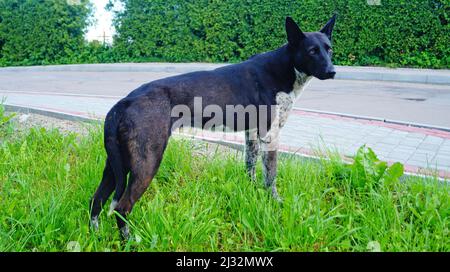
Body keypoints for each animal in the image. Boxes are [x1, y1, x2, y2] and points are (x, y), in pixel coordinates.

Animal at [89, 14, 336, 238]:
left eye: (329, 49)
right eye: (312, 51)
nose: (333, 72)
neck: (283, 68)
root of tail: (124, 102)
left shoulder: (252, 136)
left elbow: (250, 169)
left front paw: (251, 194)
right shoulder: (270, 136)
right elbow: (271, 177)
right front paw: (274, 202)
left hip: (116, 165)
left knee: (96, 201)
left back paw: (95, 235)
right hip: (146, 163)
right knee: (122, 208)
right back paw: (130, 240)